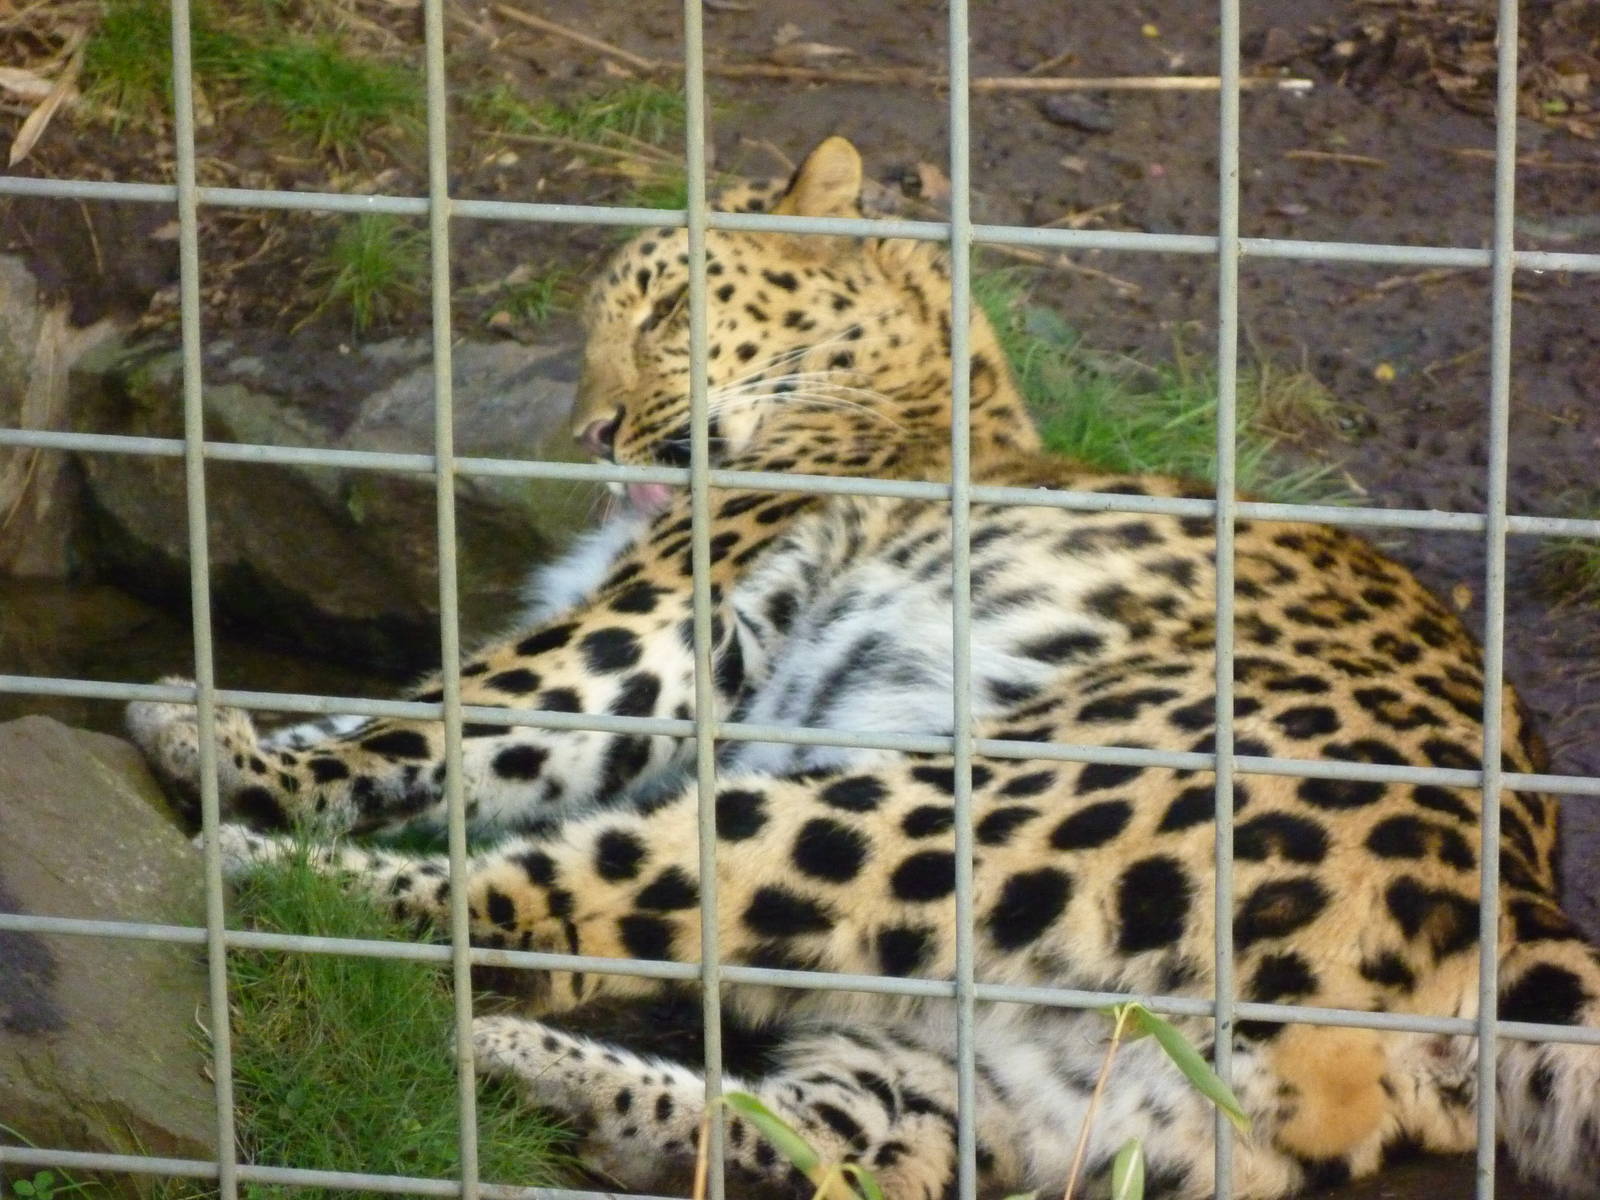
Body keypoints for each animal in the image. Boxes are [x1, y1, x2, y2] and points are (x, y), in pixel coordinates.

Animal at [127, 136, 1600, 1199]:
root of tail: (1516, 910)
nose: (589, 430)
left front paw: (228, 739)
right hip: (1009, 1075)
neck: (936, 394)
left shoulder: (656, 635)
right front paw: (238, 719)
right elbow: (386, 719)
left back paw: (255, 873)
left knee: (540, 897)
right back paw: (544, 1072)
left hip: (957, 805)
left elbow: (443, 717)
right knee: (828, 1152)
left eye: (665, 309)